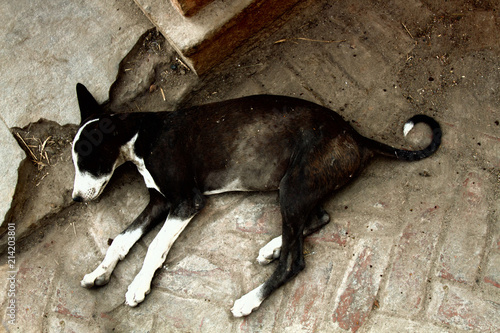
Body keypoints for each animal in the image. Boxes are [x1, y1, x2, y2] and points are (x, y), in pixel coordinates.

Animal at [72, 83, 440, 316]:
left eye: (86, 160)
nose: (75, 198)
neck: (141, 136)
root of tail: (355, 136)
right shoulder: (159, 202)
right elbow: (122, 239)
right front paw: (99, 273)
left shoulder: (186, 202)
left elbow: (154, 247)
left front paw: (138, 286)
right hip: (299, 188)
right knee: (317, 219)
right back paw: (273, 247)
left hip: (292, 188)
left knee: (295, 262)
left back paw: (250, 300)